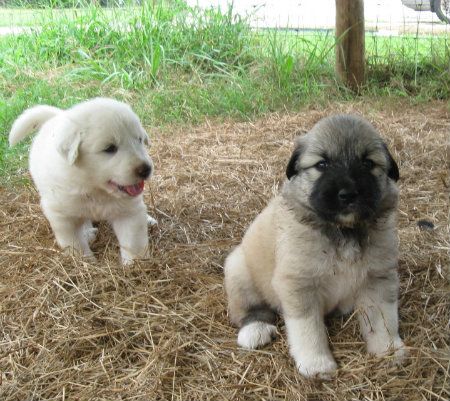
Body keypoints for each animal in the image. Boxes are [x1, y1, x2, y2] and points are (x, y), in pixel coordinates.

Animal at [9, 98, 156, 264]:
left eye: (139, 140)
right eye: (110, 148)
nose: (146, 169)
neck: (93, 187)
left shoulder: (128, 212)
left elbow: (133, 242)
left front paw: (135, 264)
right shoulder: (62, 216)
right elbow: (75, 244)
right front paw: (85, 262)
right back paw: (88, 232)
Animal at [225, 113, 408, 378]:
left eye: (367, 163)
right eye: (322, 164)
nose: (348, 194)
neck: (343, 230)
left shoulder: (378, 278)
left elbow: (383, 320)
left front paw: (388, 349)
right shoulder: (299, 285)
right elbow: (308, 330)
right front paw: (316, 363)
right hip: (238, 269)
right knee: (248, 309)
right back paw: (255, 329)